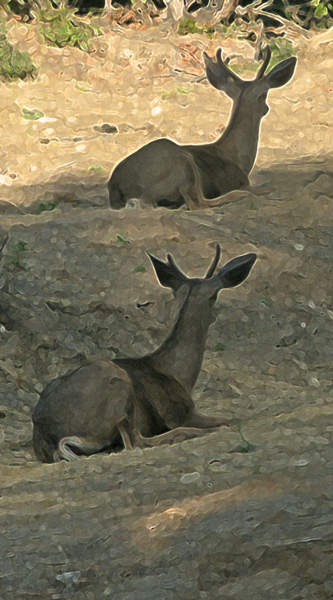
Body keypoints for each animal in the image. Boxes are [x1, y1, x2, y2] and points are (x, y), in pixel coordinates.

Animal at [32, 244, 255, 464]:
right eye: (214, 296)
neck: (178, 374)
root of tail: (48, 438)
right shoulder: (179, 412)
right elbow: (229, 419)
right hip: (116, 384)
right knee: (135, 442)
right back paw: (189, 433)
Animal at [107, 45, 296, 209]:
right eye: (264, 94)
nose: (266, 108)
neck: (238, 159)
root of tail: (115, 184)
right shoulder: (240, 182)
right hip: (182, 167)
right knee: (197, 203)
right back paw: (239, 196)